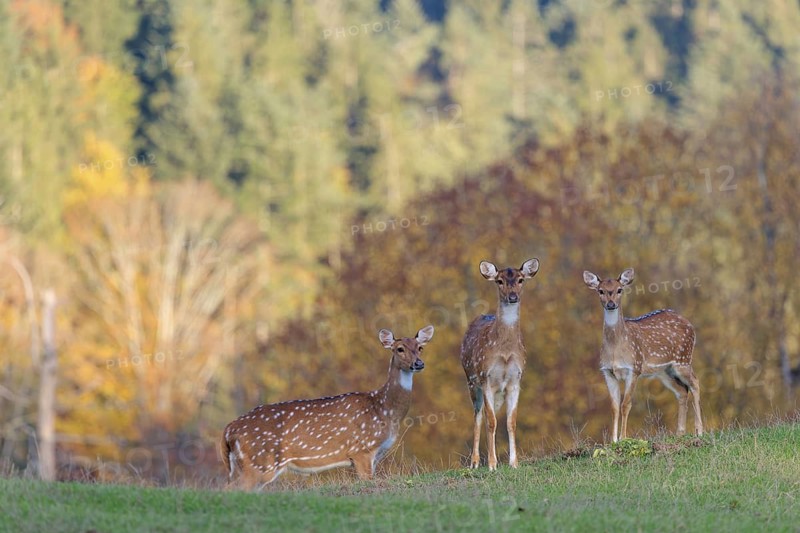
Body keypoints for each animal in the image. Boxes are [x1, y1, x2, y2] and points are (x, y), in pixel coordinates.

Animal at [220, 325, 434, 489]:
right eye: (400, 349)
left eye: (420, 347)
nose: (419, 363)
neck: (383, 409)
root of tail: (229, 429)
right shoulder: (362, 450)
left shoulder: (373, 456)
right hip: (260, 461)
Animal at [460, 258, 539, 470]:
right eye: (499, 281)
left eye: (520, 280)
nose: (512, 296)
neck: (504, 353)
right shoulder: (486, 377)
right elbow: (491, 422)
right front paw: (492, 464)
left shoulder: (515, 380)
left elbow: (511, 422)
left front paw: (514, 463)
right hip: (472, 382)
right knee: (479, 416)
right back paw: (475, 461)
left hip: (497, 392)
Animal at [583, 268, 703, 442]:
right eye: (601, 291)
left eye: (619, 290)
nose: (611, 304)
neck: (615, 351)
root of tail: (689, 324)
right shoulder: (607, 372)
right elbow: (614, 407)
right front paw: (613, 441)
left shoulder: (634, 368)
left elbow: (626, 404)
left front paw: (623, 438)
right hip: (664, 371)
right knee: (682, 391)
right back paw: (679, 433)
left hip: (683, 360)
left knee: (695, 383)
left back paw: (699, 431)